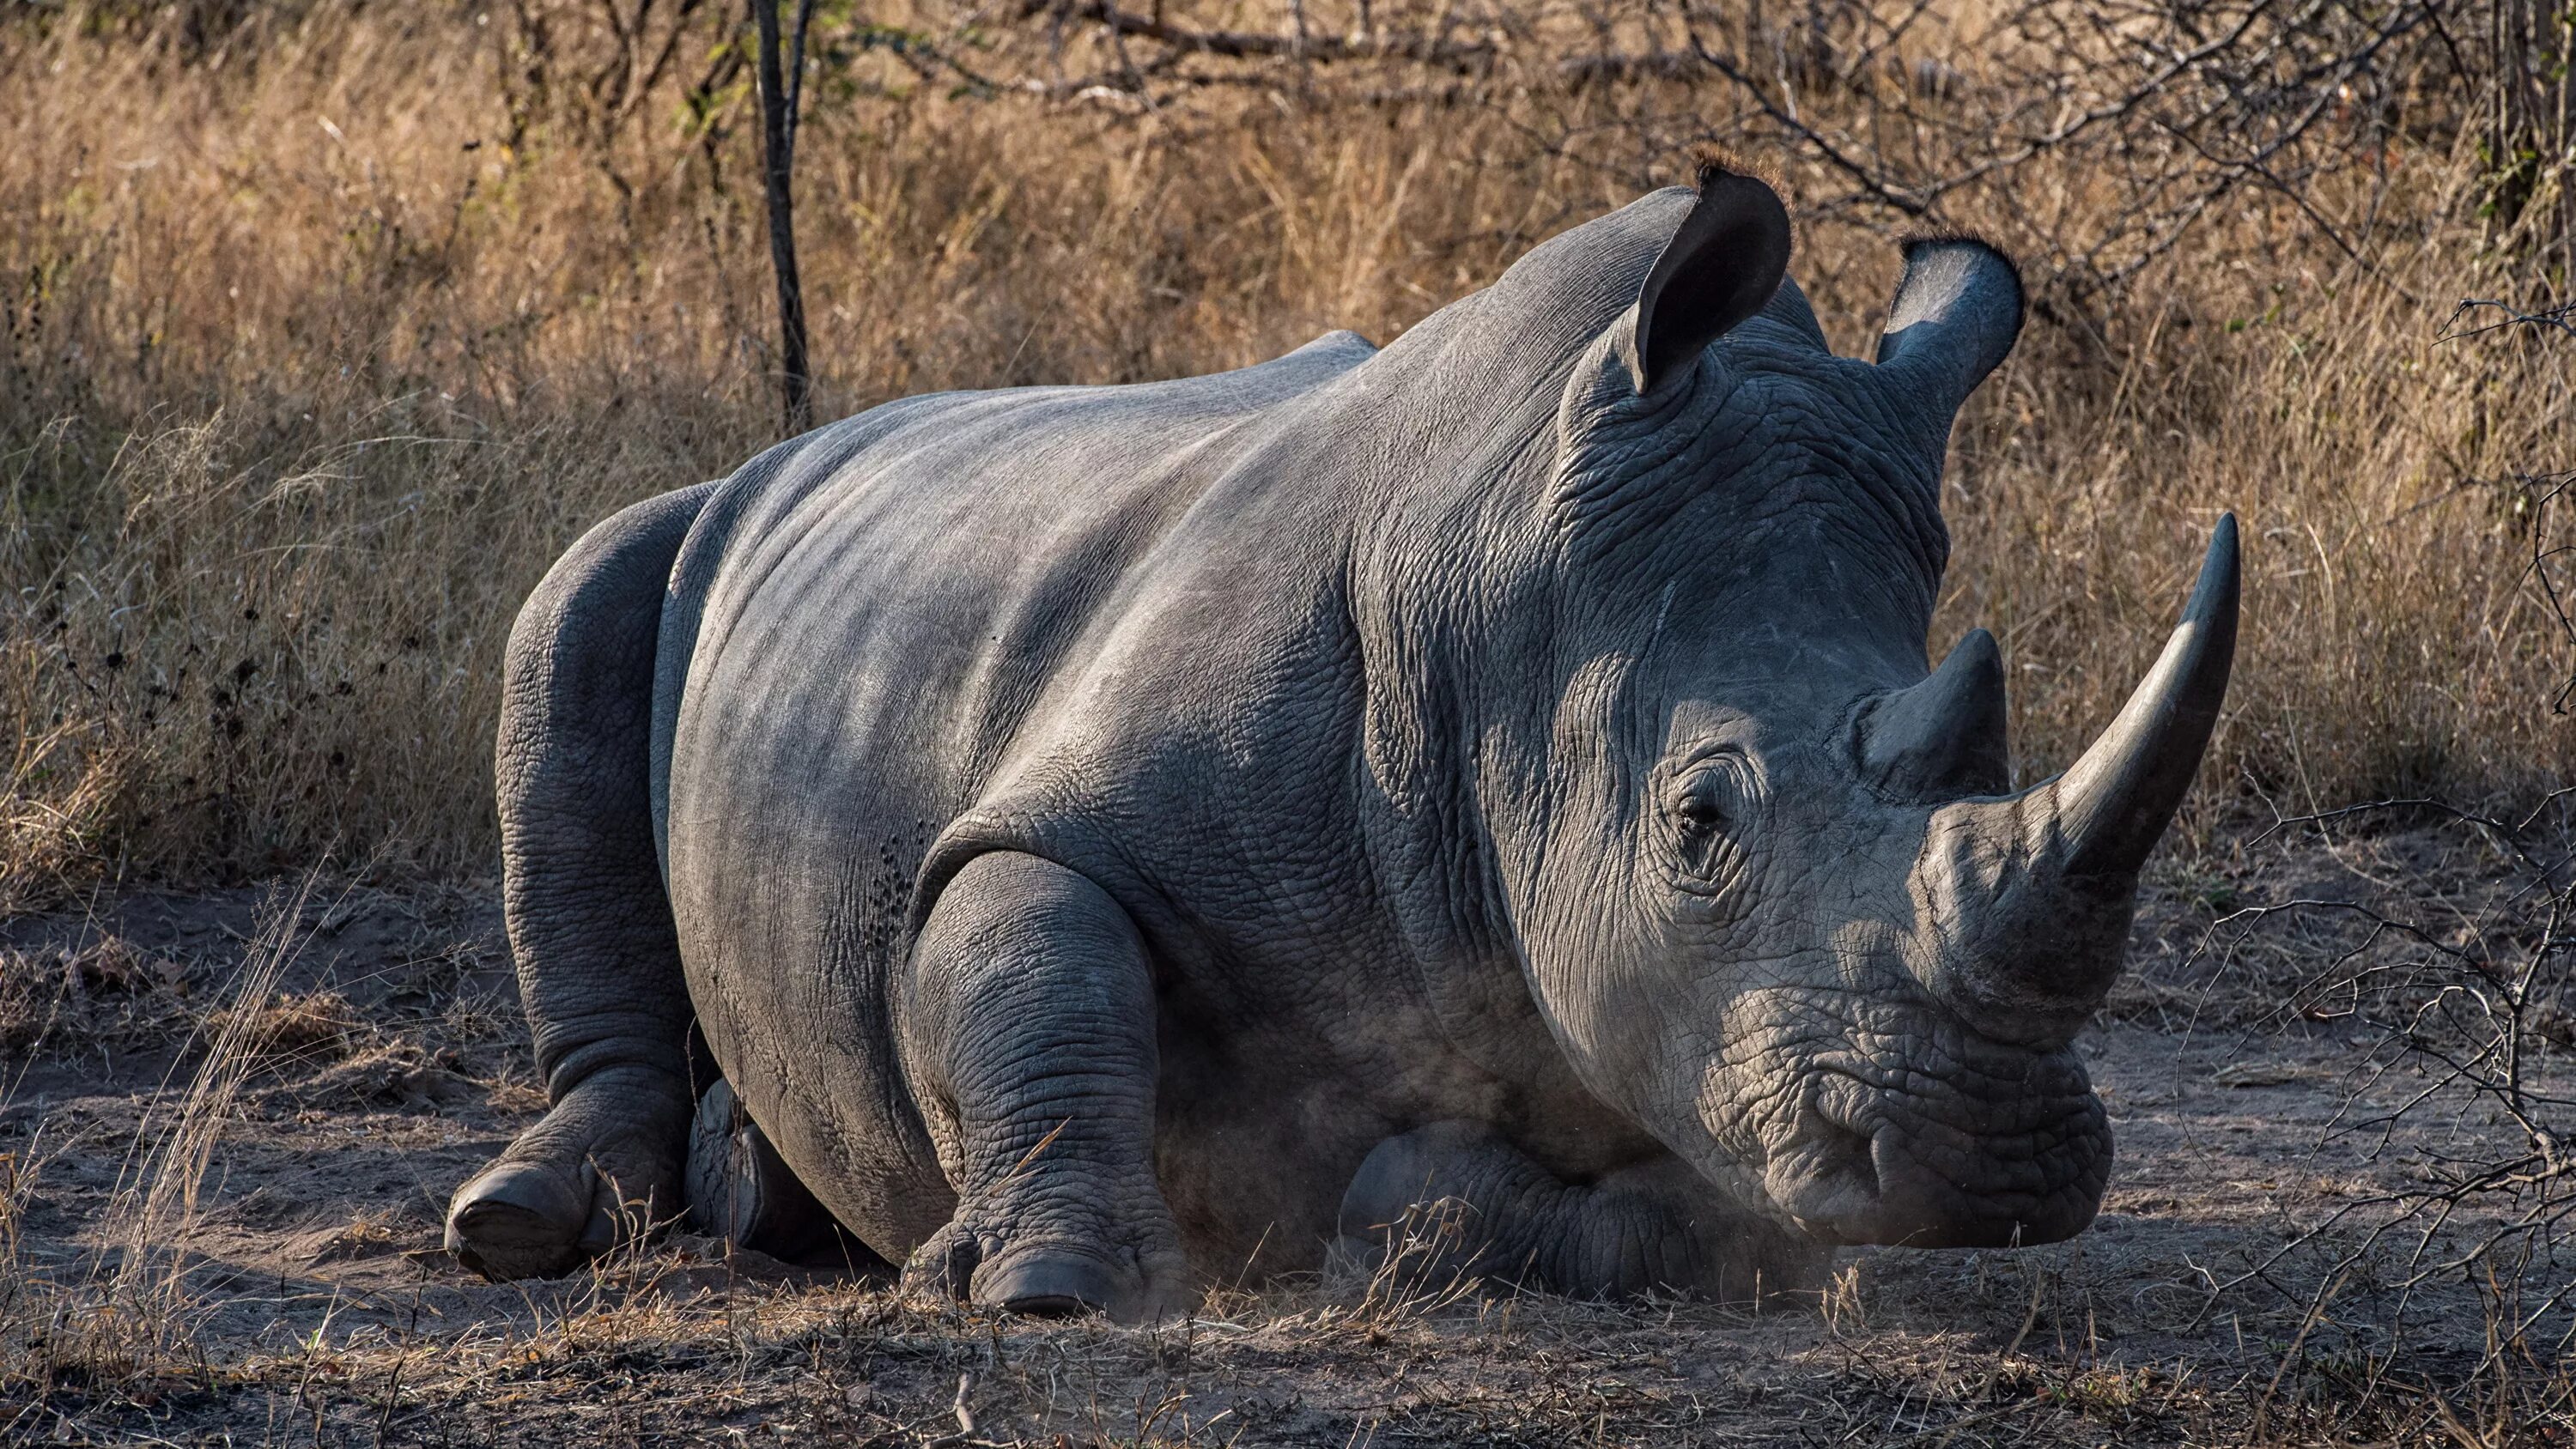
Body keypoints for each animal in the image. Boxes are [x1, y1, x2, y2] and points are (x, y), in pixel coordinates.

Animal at [443, 161, 2236, 1328]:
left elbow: (1665, 1216)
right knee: (575, 604)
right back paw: (528, 1224)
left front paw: (1400, 1223)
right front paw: (1048, 1286)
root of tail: (815, 437)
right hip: (700, 523)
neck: (1507, 605)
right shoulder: (1078, 813)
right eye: (1701, 819)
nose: (1997, 1163)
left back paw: (757, 1194)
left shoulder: (1689, 1040)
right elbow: (1030, 949)